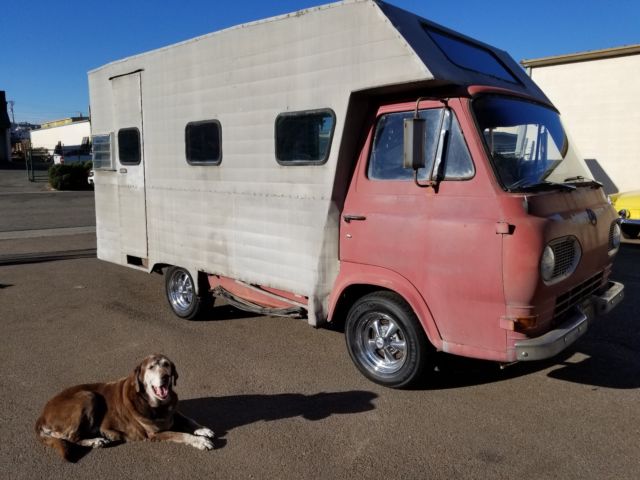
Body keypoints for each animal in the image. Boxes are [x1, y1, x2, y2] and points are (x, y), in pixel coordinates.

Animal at [35, 352, 215, 462]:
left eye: (167, 365)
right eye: (151, 367)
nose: (165, 376)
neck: (154, 403)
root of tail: (41, 415)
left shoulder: (172, 411)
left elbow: (188, 419)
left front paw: (203, 429)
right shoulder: (155, 434)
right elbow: (181, 434)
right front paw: (200, 441)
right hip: (88, 396)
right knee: (71, 436)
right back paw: (96, 440)